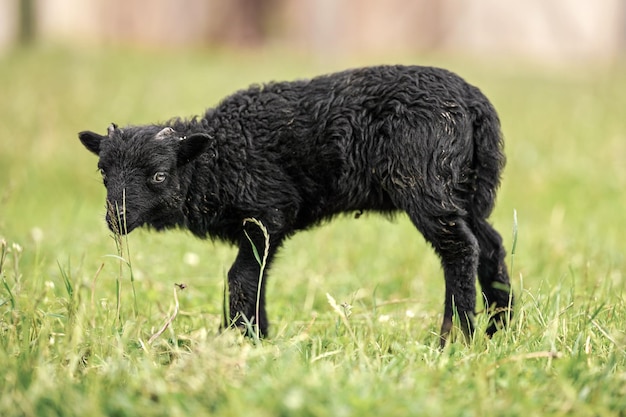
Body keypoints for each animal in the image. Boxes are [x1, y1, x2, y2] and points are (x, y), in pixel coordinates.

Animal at [78, 64, 510, 344]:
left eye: (159, 176)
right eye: (103, 172)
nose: (116, 220)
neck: (217, 159)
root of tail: (474, 104)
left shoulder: (267, 213)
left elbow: (241, 277)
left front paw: (239, 337)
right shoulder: (263, 226)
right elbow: (256, 277)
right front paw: (258, 335)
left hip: (425, 180)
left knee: (460, 249)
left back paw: (455, 338)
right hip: (466, 187)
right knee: (490, 245)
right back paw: (498, 330)